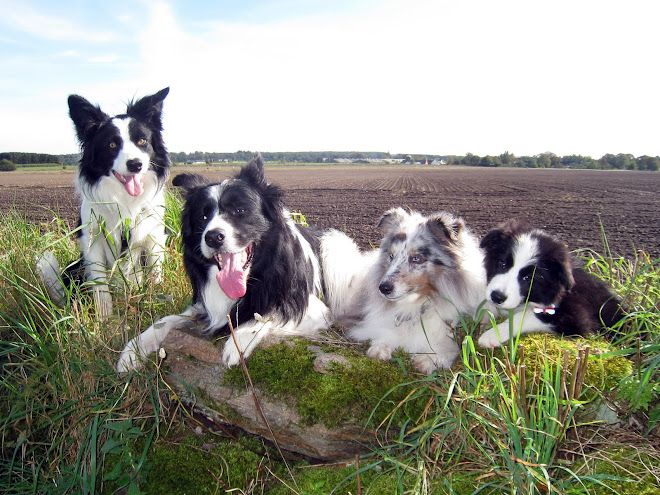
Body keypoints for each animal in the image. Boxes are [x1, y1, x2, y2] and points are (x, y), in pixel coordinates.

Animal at [36, 87, 171, 316]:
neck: (125, 203)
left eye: (142, 141)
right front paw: (105, 319)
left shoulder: (153, 238)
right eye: (112, 144)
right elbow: (101, 288)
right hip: (75, 266)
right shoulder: (93, 242)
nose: (135, 164)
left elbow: (156, 277)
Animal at [117, 155, 350, 372]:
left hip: (334, 249)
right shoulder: (203, 306)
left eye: (240, 210)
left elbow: (266, 314)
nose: (213, 237)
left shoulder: (313, 310)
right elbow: (165, 320)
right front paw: (133, 350)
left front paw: (238, 342)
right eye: (203, 217)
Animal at [474, 219, 628, 350]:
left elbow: (527, 316)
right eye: (502, 264)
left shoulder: (579, 319)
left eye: (528, 277)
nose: (497, 297)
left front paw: (492, 335)